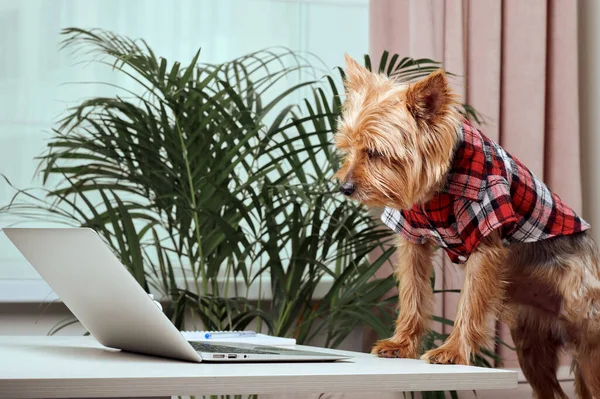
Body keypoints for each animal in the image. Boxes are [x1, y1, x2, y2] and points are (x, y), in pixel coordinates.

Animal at [336, 54, 600, 398]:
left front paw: (451, 352)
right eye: (348, 147)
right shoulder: (413, 238)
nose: (344, 187)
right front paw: (401, 344)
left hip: (588, 331)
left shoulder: (486, 235)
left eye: (376, 153)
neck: (436, 189)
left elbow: (471, 302)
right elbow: (412, 293)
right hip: (530, 341)